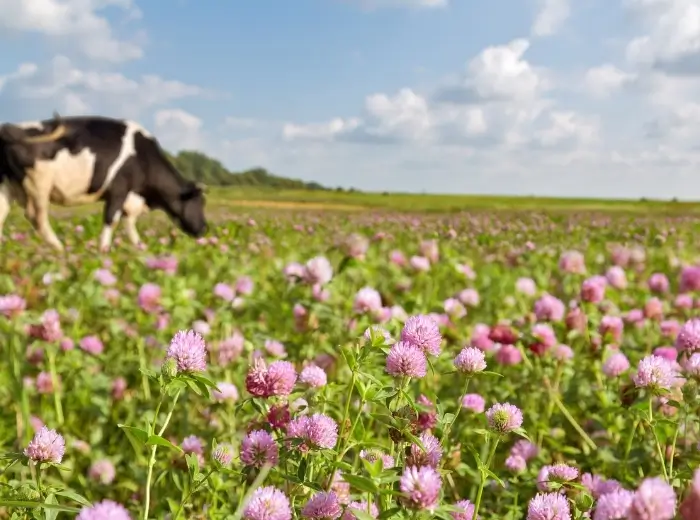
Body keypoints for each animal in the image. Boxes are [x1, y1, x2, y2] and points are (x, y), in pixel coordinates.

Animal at [0, 113, 207, 252]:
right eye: (199, 203)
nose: (204, 229)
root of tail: (7, 129)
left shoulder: (130, 198)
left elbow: (129, 224)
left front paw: (140, 248)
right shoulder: (119, 189)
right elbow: (111, 220)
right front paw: (104, 250)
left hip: (7, 186)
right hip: (38, 184)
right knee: (38, 218)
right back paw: (60, 249)